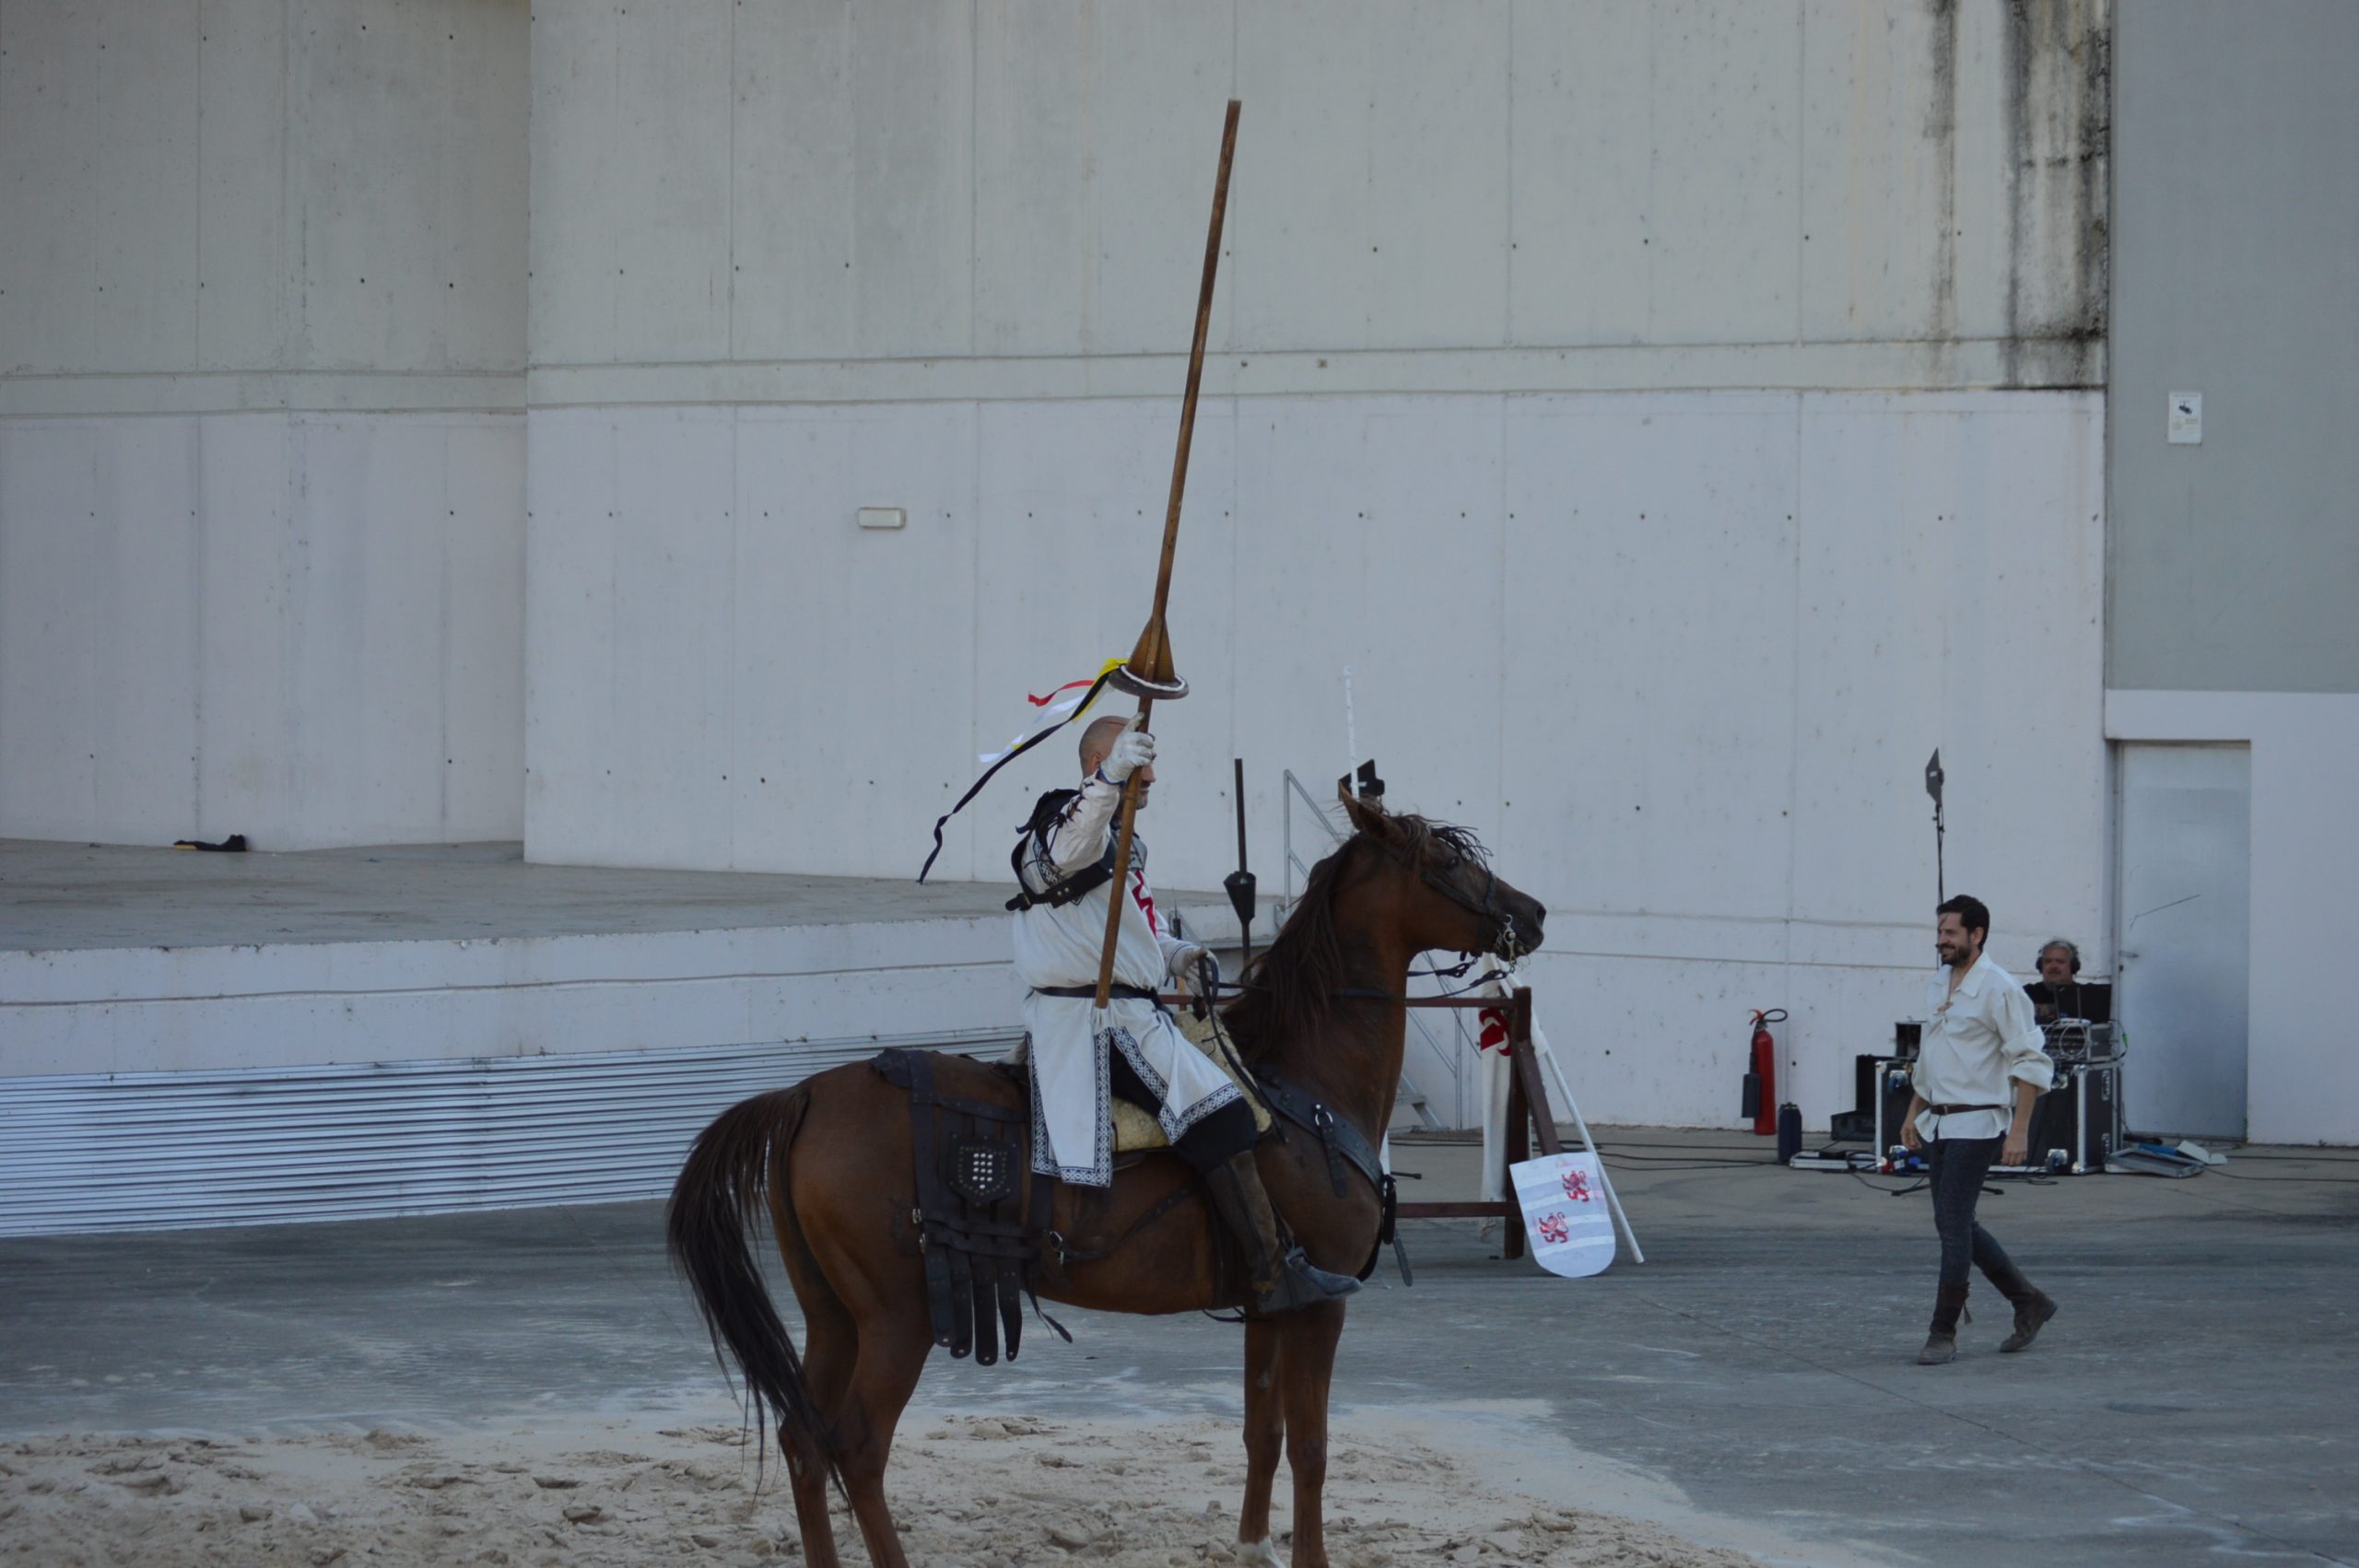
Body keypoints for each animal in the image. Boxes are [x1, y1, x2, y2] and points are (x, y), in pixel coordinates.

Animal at [664, 797, 1547, 1565]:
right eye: (1446, 860)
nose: (1533, 913)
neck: (1306, 1084)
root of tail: (806, 1095)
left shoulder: (1271, 1303)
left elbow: (1263, 1434)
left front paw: (1252, 1546)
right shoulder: (1320, 1305)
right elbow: (1313, 1447)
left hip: (834, 1316)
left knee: (803, 1439)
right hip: (897, 1319)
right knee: (856, 1445)